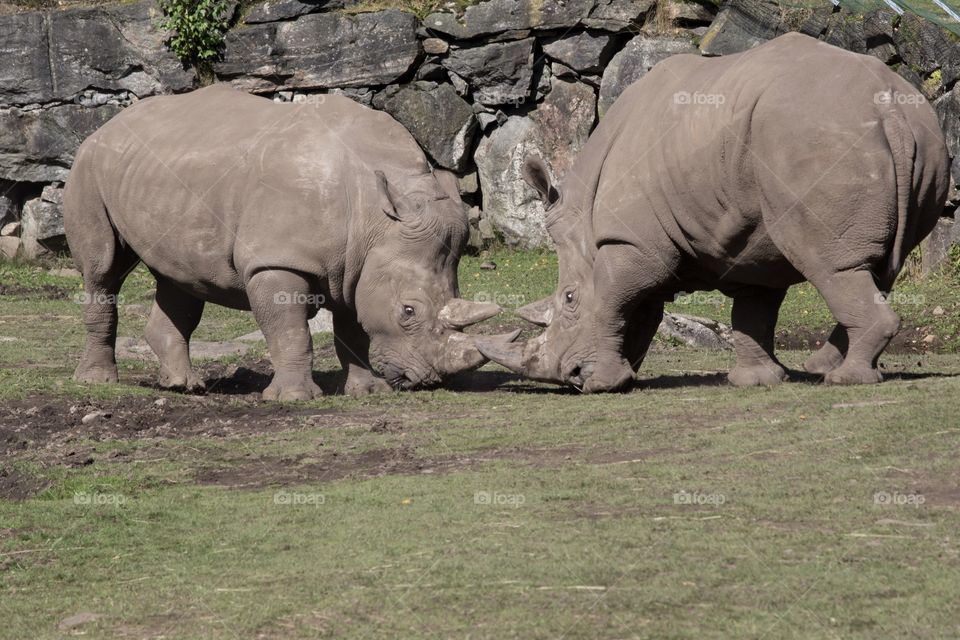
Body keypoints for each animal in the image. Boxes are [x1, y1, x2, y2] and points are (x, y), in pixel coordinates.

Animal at [64, 84, 516, 400]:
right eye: (408, 311)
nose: (429, 381)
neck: (374, 216)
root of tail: (105, 125)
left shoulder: (356, 265)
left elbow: (353, 329)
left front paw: (368, 391)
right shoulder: (277, 259)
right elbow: (290, 329)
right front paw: (295, 398)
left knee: (180, 279)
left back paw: (183, 385)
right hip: (88, 167)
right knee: (103, 271)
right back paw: (98, 383)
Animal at [478, 33, 950, 392]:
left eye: (570, 299)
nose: (571, 378)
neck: (585, 210)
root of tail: (888, 107)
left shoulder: (633, 242)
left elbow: (614, 297)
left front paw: (604, 384)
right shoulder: (749, 241)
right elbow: (752, 309)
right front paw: (755, 382)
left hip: (817, 142)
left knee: (830, 264)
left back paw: (844, 380)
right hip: (920, 138)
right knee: (875, 268)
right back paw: (823, 368)